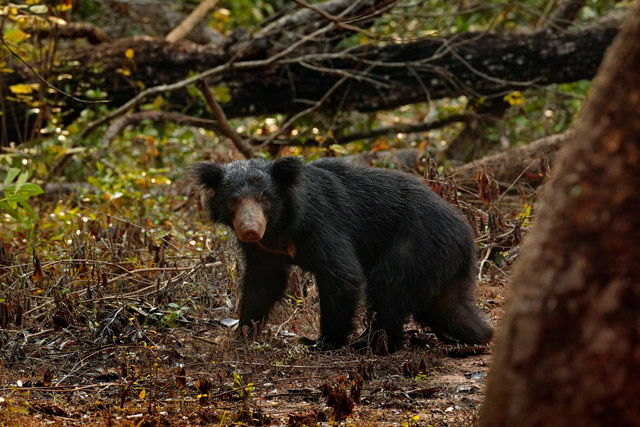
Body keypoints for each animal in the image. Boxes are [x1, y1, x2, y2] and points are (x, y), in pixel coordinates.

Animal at [191, 156, 492, 351]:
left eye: (264, 199)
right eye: (234, 201)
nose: (251, 230)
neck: (279, 227)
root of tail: (466, 235)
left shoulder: (322, 224)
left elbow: (341, 275)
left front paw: (323, 343)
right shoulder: (265, 249)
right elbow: (263, 284)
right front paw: (242, 334)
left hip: (415, 245)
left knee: (387, 288)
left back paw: (374, 344)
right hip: (435, 263)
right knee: (447, 307)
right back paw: (481, 335)